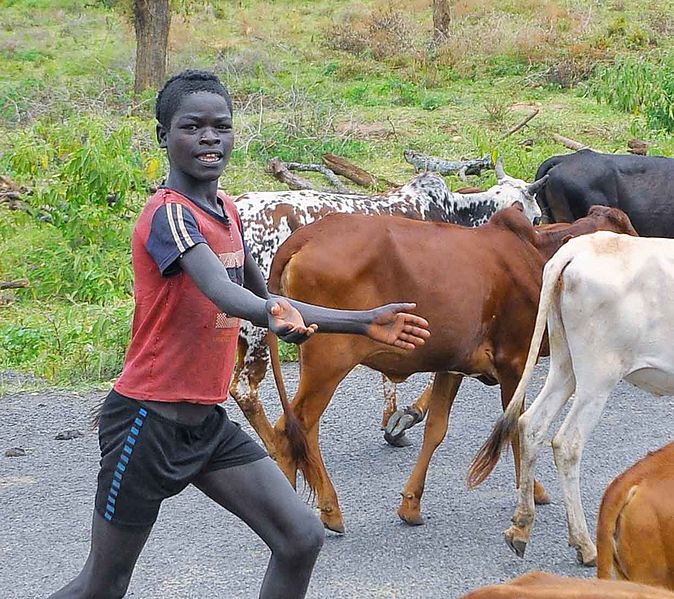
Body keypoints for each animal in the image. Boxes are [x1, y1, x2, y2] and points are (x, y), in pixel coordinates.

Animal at [228, 163, 544, 454]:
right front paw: (403, 419)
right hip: (260, 329)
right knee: (246, 389)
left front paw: (391, 420)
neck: (450, 213)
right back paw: (276, 446)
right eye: (537, 215)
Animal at [264, 204, 636, 532]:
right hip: (329, 360)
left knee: (299, 428)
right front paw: (534, 491)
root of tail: (306, 236)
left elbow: (436, 429)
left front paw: (411, 505)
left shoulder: (452, 365)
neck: (537, 257)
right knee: (292, 427)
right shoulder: (514, 362)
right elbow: (515, 425)